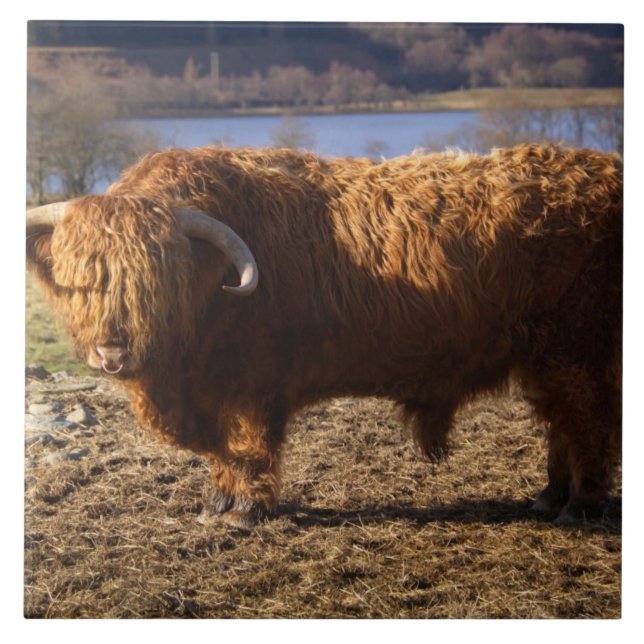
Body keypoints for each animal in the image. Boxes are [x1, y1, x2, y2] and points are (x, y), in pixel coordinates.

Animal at [26, 143, 622, 529]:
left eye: (157, 279)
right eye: (82, 278)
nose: (112, 351)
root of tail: (603, 167)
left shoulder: (254, 384)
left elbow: (249, 445)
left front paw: (246, 513)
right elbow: (223, 453)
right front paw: (219, 503)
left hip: (578, 346)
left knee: (587, 418)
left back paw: (580, 507)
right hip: (545, 353)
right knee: (560, 420)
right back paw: (549, 497)